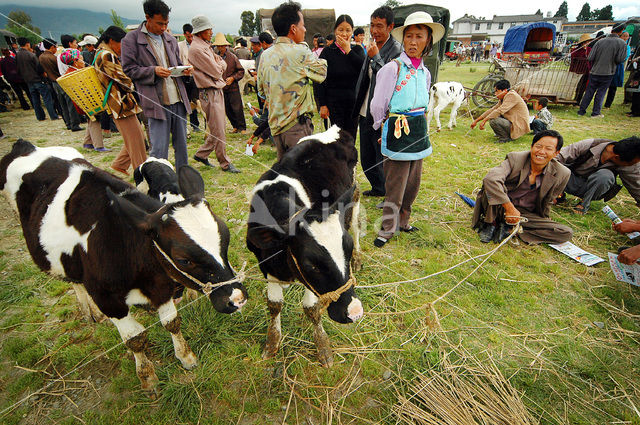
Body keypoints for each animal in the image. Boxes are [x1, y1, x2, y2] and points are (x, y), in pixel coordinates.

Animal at [0, 140, 248, 394]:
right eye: (183, 259)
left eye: (226, 236)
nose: (237, 298)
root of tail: (26, 145)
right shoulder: (108, 299)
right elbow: (134, 339)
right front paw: (147, 378)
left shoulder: (161, 286)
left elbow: (172, 322)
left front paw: (186, 357)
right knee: (73, 281)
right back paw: (89, 310)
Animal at [246, 125, 362, 364]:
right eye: (312, 265)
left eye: (346, 251)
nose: (355, 311)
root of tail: (334, 129)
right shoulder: (266, 265)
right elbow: (274, 305)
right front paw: (271, 344)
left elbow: (311, 308)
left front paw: (323, 347)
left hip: (353, 196)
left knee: (356, 227)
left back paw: (359, 258)